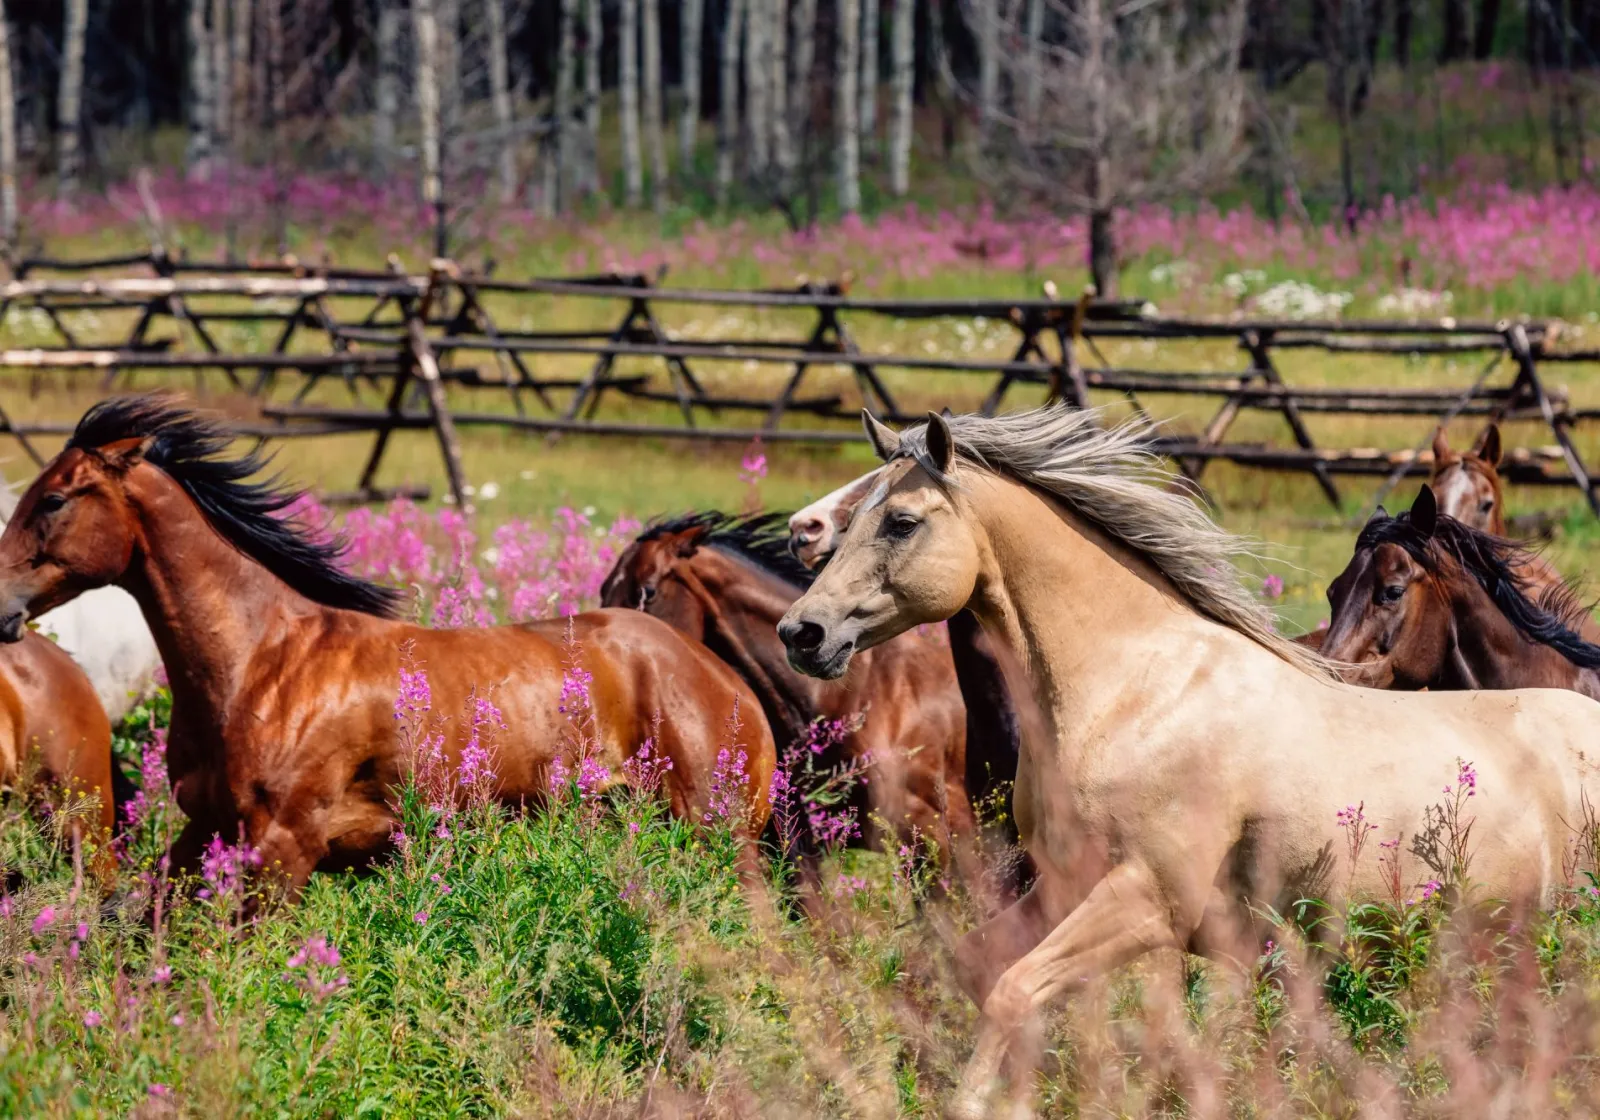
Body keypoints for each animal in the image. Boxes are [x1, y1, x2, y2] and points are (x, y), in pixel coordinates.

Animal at [600, 510, 984, 895]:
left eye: (647, 590)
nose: (613, 640)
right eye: (604, 590)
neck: (853, 696)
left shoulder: (931, 836)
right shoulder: (792, 843)